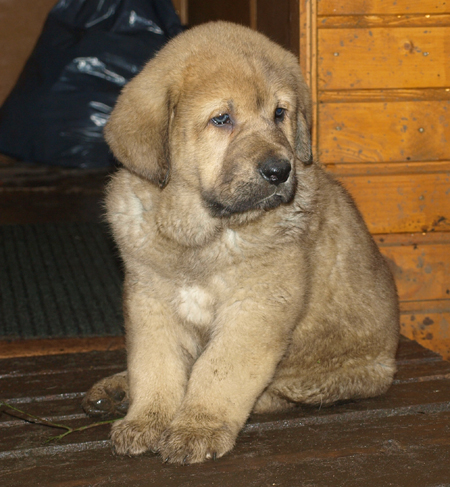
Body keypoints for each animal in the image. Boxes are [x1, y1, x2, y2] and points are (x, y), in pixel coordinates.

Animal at [82, 21, 400, 466]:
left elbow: (218, 371)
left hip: (334, 374)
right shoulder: (151, 298)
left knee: (276, 394)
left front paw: (197, 426)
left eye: (280, 114)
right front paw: (146, 419)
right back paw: (117, 389)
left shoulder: (256, 307)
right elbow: (156, 365)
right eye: (222, 119)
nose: (280, 170)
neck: (203, 234)